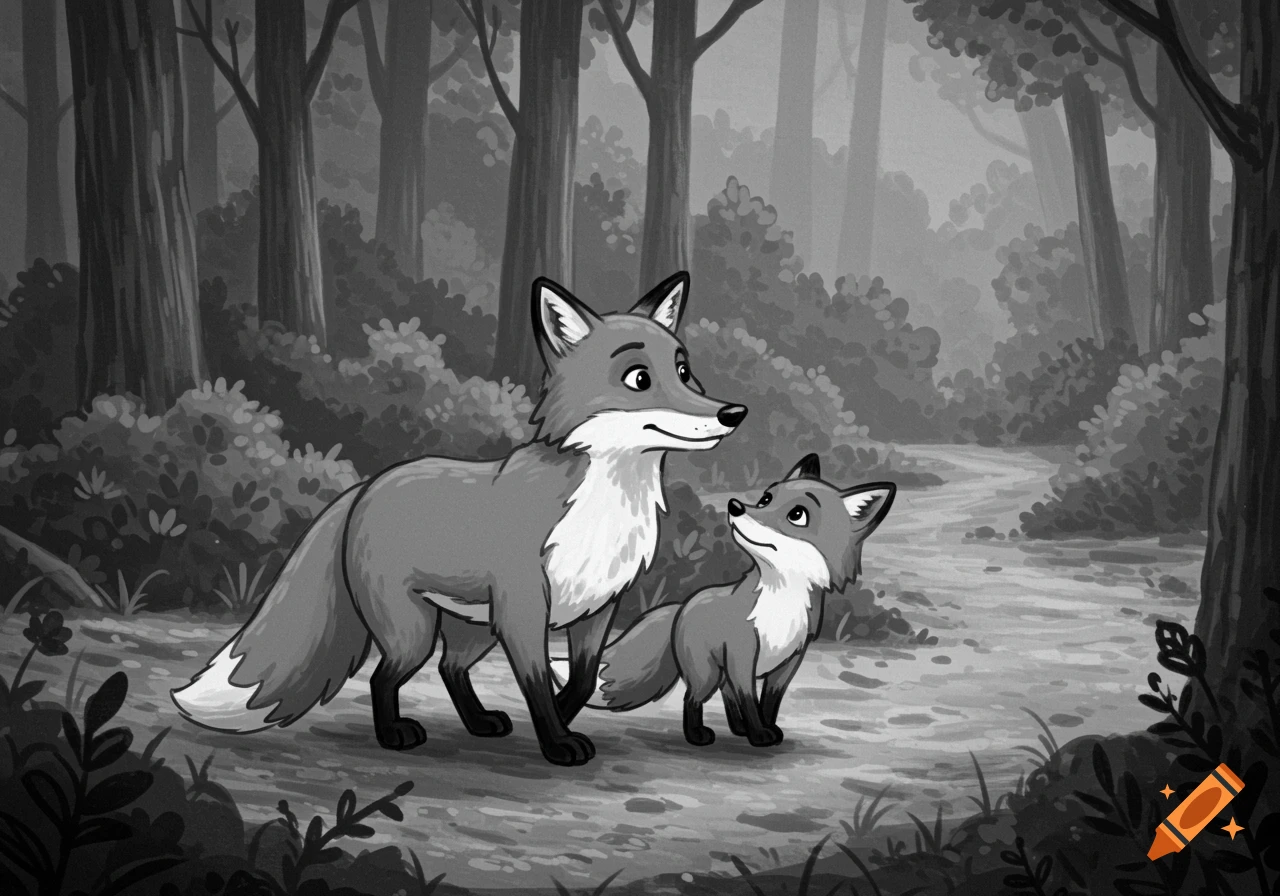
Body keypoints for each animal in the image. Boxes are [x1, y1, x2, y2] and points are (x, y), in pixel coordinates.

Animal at [171, 270, 749, 767]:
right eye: (639, 378)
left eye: (684, 371)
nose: (733, 413)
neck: (604, 505)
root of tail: (366, 486)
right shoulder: (523, 608)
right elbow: (537, 684)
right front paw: (557, 741)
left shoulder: (597, 607)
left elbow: (581, 682)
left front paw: (561, 718)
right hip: (413, 630)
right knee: (384, 677)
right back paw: (393, 735)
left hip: (471, 629)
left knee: (449, 669)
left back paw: (479, 723)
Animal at [551, 454, 894, 748]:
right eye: (766, 498)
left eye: (797, 514)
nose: (736, 506)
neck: (781, 601)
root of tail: (682, 606)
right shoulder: (743, 653)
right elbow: (750, 700)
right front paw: (760, 735)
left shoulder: (789, 661)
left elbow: (769, 702)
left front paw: (768, 729)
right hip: (707, 672)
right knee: (693, 698)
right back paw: (698, 735)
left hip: (720, 673)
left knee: (725, 697)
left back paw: (736, 728)